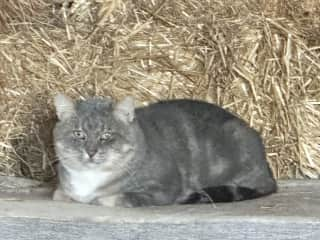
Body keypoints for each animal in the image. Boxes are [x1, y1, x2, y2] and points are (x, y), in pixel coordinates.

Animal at [52, 94, 278, 206]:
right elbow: (59, 194)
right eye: (79, 134)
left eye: (106, 135)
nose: (91, 152)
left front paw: (96, 199)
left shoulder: (162, 189)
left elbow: (113, 199)